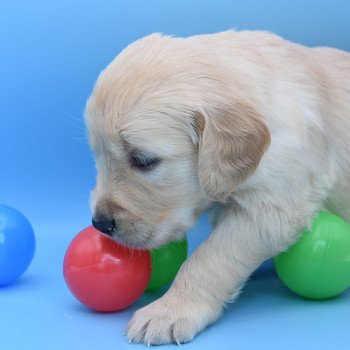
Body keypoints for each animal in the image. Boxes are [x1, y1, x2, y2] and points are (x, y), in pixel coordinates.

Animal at [85, 30, 350, 344]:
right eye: (97, 155)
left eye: (143, 160)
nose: (100, 223)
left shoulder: (275, 205)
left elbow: (210, 258)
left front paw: (168, 311)